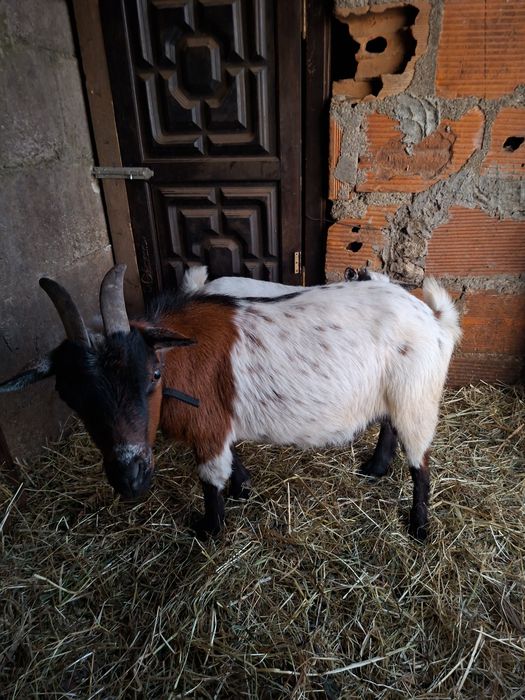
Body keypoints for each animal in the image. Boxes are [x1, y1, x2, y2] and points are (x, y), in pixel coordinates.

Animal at [0, 266, 461, 540]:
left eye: (152, 376)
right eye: (70, 395)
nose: (130, 478)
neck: (178, 356)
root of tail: (436, 319)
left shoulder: (208, 427)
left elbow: (209, 480)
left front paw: (208, 529)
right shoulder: (221, 419)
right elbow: (231, 459)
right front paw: (243, 487)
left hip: (418, 399)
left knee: (421, 464)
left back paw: (419, 526)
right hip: (396, 394)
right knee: (389, 424)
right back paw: (376, 468)